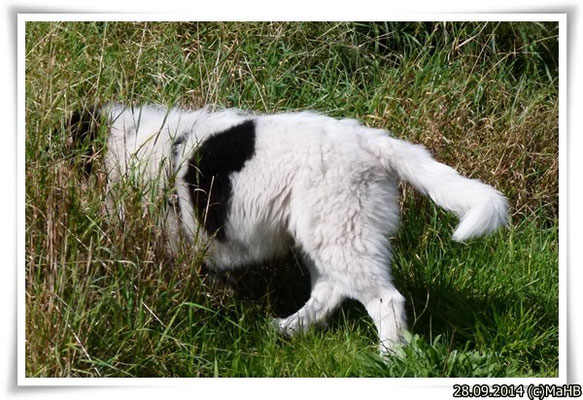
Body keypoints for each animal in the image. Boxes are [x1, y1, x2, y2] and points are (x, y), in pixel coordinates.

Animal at [68, 103, 508, 354]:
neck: (125, 146)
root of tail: (371, 141)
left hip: (341, 228)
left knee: (385, 300)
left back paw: (388, 358)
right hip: (321, 232)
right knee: (330, 289)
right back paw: (287, 329)